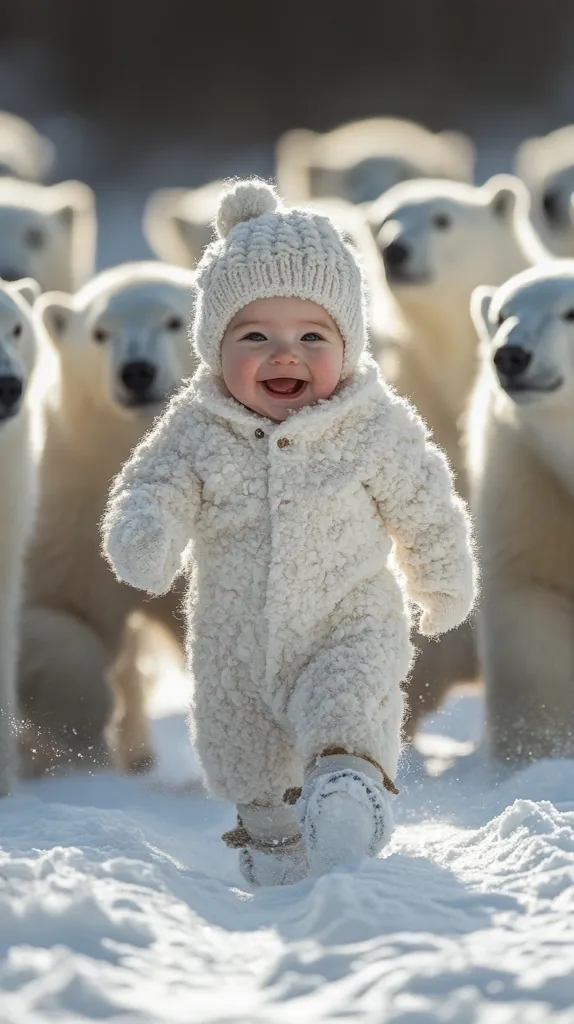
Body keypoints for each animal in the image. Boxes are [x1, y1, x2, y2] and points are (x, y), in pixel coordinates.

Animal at [18, 262, 197, 777]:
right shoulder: (68, 515)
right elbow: (56, 615)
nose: (137, 371)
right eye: (100, 333)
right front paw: (82, 745)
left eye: (174, 321)